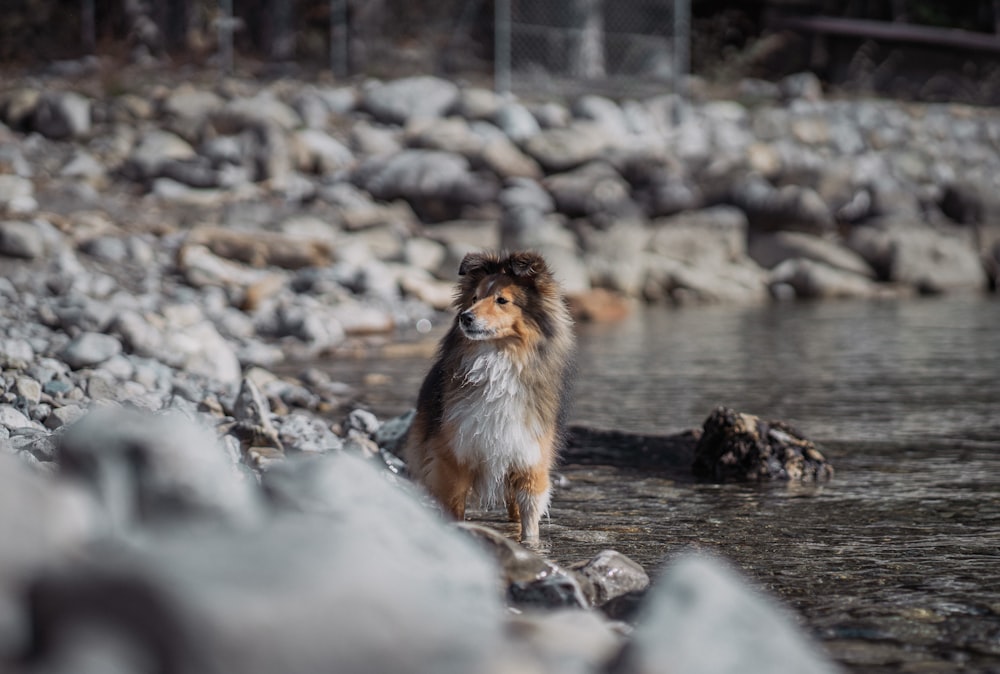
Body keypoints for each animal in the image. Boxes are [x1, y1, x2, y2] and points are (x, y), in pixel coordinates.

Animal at [402, 248, 576, 540]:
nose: (466, 317)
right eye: (474, 298)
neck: (497, 360)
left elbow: (530, 521)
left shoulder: (530, 463)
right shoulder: (453, 459)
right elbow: (454, 507)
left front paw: (530, 545)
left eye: (502, 300)